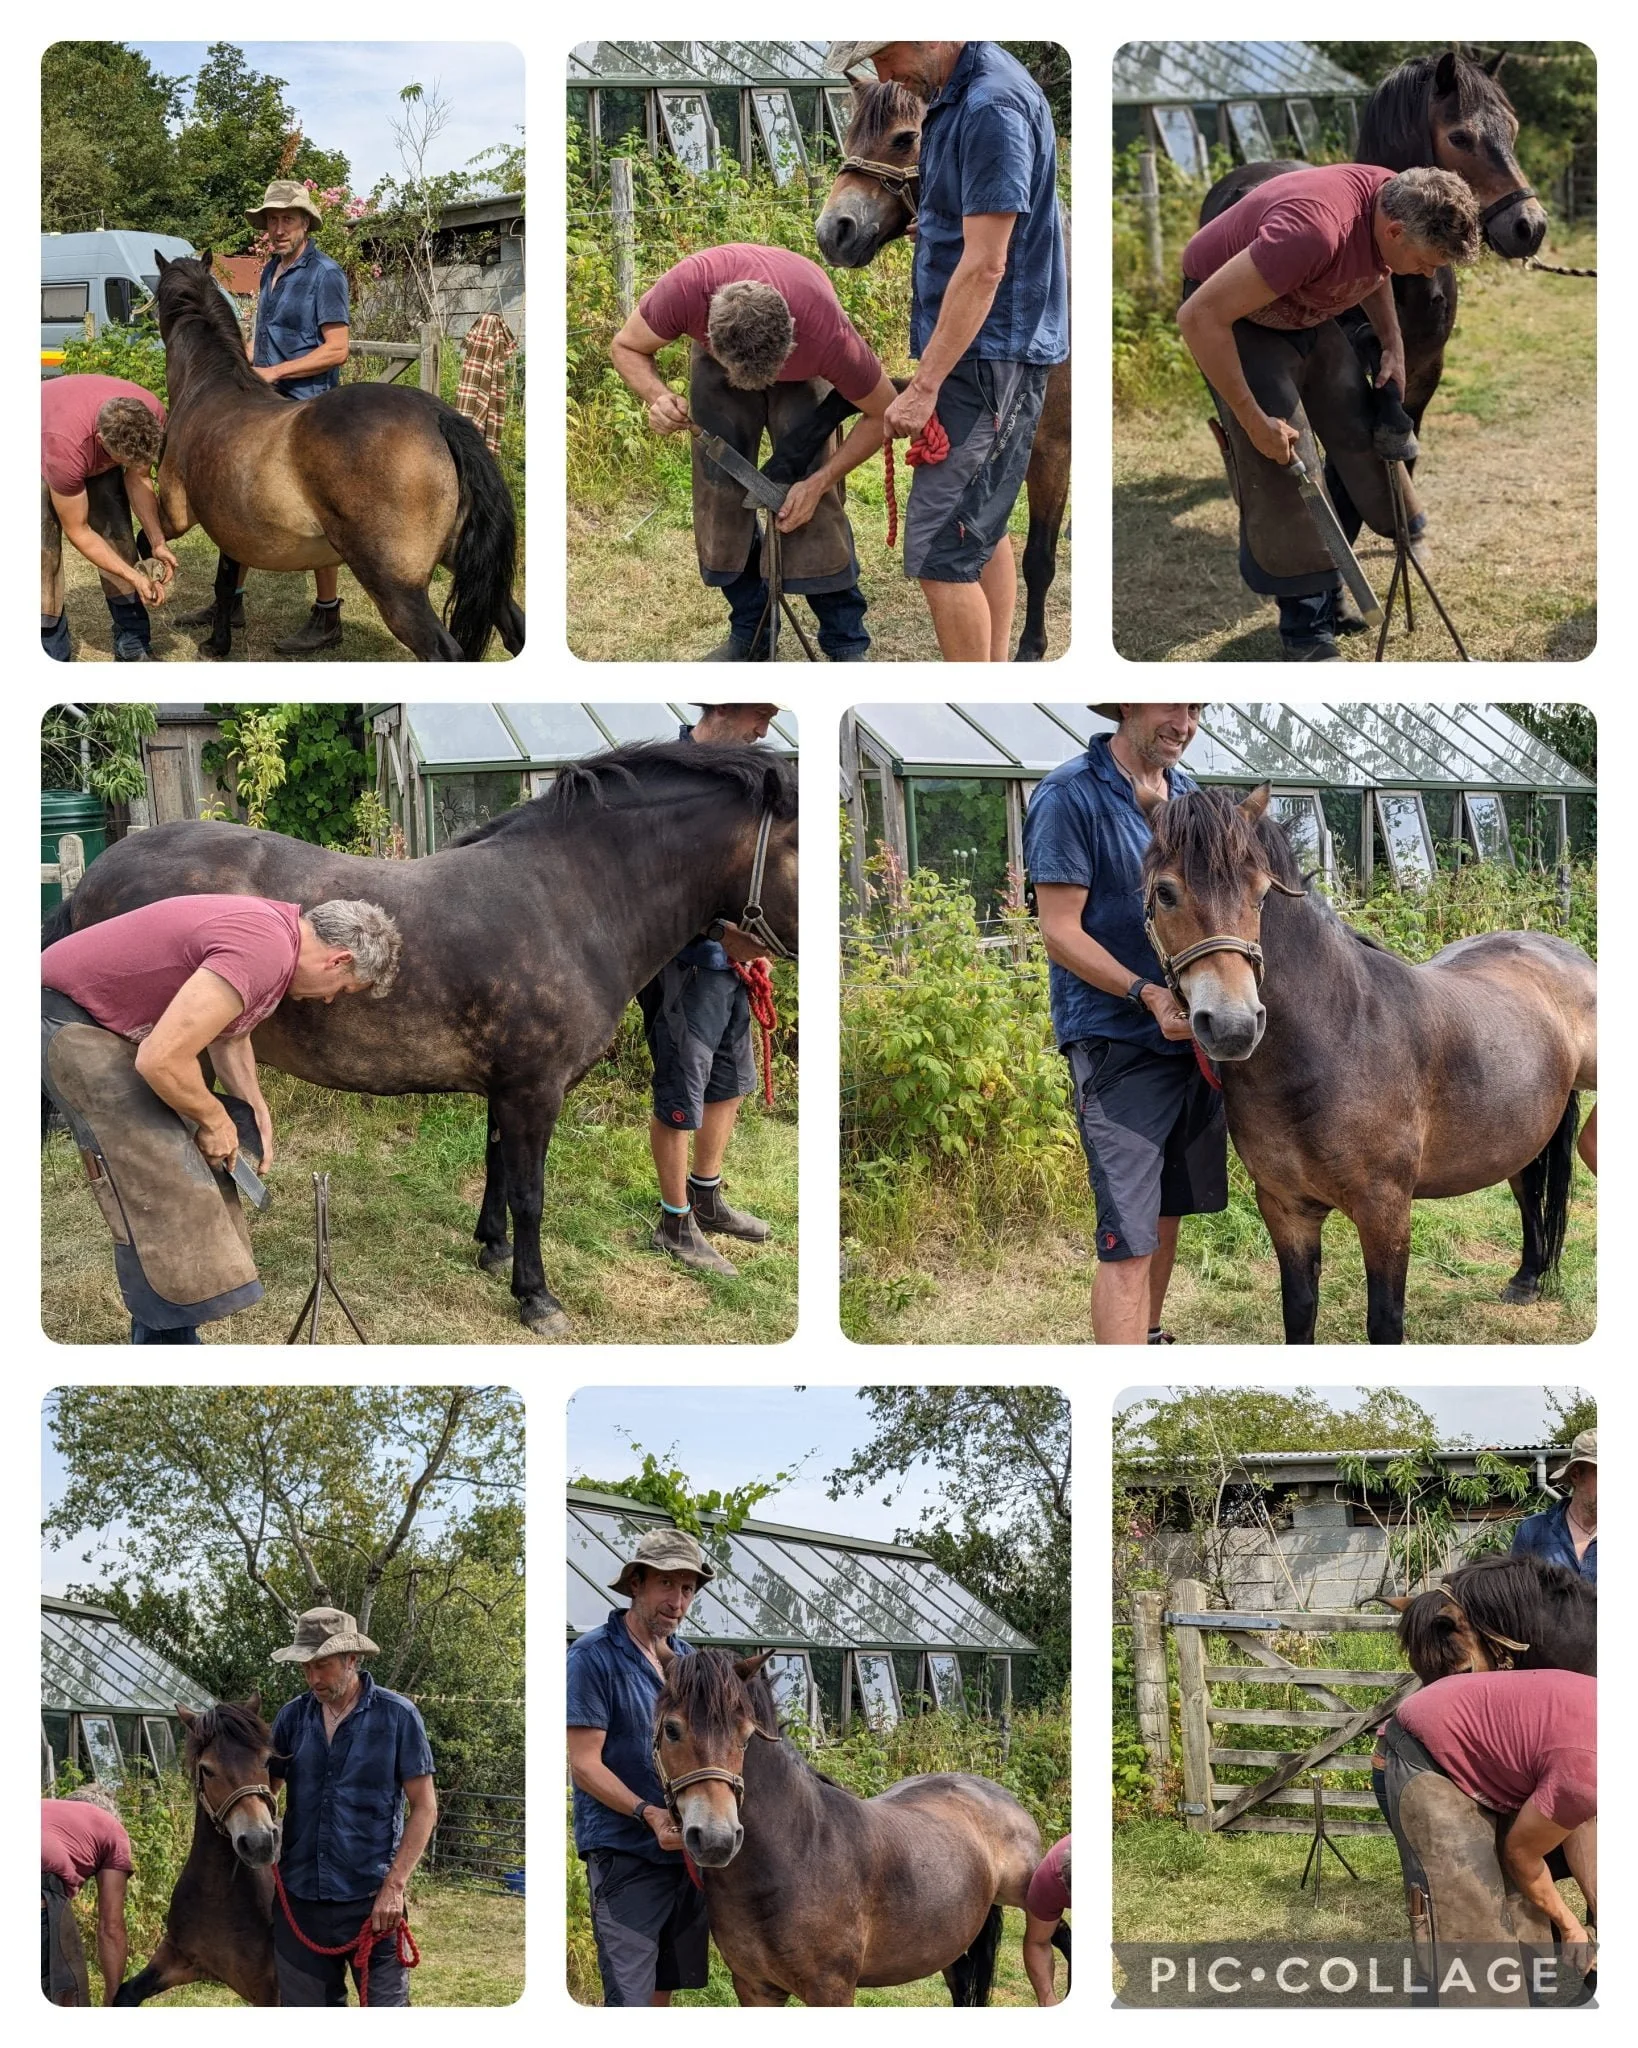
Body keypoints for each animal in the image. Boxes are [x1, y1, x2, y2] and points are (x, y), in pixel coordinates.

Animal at [43, 741, 797, 1336]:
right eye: (800, 849)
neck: (570, 903)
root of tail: (97, 876)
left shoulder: (508, 1088)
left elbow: (497, 1169)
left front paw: (492, 1250)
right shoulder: (535, 1090)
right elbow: (531, 1193)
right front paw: (537, 1296)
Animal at [114, 1699, 279, 2006]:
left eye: (266, 1761)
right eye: (207, 1769)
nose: (259, 1842)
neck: (217, 1896)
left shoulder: (270, 1991)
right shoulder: (176, 1957)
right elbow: (125, 1993)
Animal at [150, 252, 525, 662]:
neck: (209, 386)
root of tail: (438, 416)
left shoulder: (175, 514)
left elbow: (145, 541)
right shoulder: (229, 528)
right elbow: (225, 581)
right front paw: (219, 641)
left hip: (397, 587)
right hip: (466, 562)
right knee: (515, 626)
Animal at [653, 1649, 1041, 2006]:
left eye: (746, 1737)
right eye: (671, 1729)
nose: (716, 1839)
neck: (795, 1853)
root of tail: (996, 1793)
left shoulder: (831, 1991)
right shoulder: (755, 1988)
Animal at [1141, 786, 1595, 1343]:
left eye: (1260, 895)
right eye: (1165, 893)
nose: (1232, 1025)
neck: (1336, 1041)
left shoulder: (1385, 1212)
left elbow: (1384, 1321)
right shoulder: (1286, 1209)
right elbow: (1299, 1312)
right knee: (1528, 1188)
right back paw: (1526, 1278)